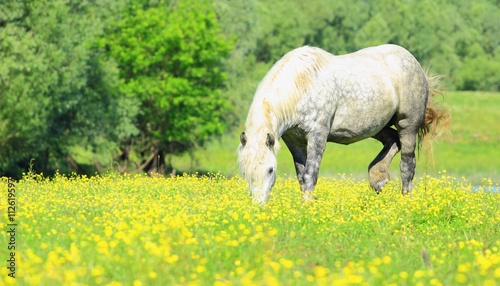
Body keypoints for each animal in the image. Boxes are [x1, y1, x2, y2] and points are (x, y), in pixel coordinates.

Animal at [238, 44, 450, 203]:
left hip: (407, 124)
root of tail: (415, 64)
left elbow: (310, 174)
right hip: (374, 126)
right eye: (245, 171)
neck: (302, 84)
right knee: (392, 140)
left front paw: (308, 206)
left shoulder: (317, 134)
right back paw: (378, 178)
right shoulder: (294, 141)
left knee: (407, 164)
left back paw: (405, 200)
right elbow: (301, 175)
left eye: (270, 169)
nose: (258, 205)